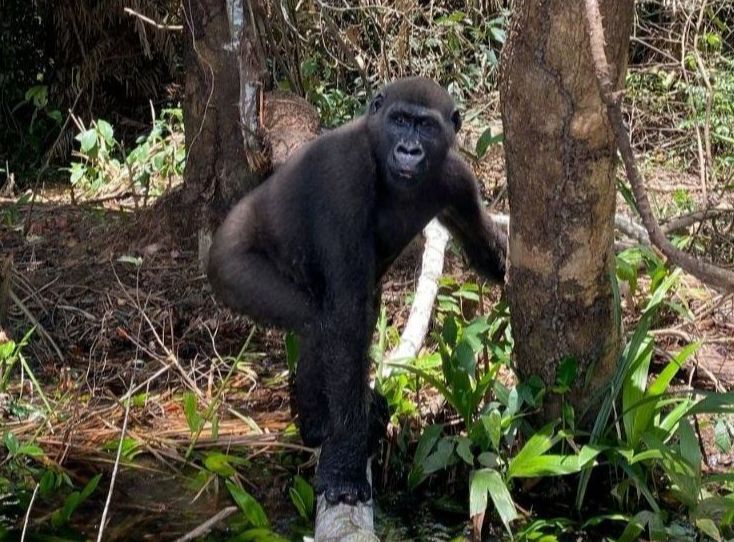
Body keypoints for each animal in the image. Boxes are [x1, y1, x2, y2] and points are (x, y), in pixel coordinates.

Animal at [206, 78, 506, 508]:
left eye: (425, 126)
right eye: (400, 121)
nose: (409, 149)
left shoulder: (458, 179)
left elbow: (486, 251)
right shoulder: (343, 176)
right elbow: (345, 321)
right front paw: (345, 463)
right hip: (230, 265)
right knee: (321, 324)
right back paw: (319, 425)